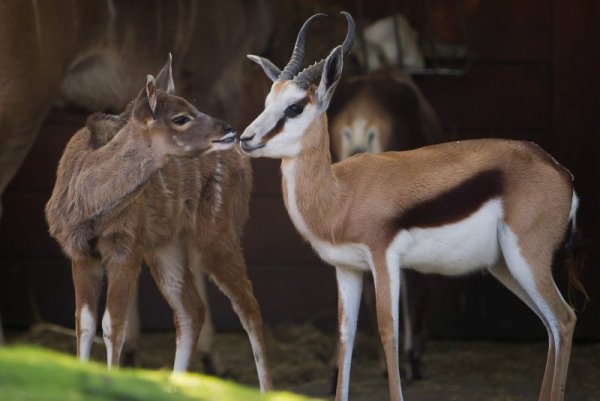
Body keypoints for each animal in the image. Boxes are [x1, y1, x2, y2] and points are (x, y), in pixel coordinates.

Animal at [47, 57, 272, 390]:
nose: (230, 129)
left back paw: (267, 389)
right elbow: (84, 323)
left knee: (249, 306)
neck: (88, 205)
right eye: (181, 117)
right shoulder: (81, 253)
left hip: (217, 234)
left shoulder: (125, 249)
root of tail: (242, 162)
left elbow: (112, 324)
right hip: (167, 247)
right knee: (192, 310)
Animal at [243, 10, 580, 400]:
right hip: (506, 266)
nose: (246, 139)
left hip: (527, 260)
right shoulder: (347, 268)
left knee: (565, 319)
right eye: (267, 103)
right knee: (550, 325)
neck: (341, 195)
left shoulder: (384, 259)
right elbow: (346, 337)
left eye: (294, 107)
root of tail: (560, 171)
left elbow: (388, 332)